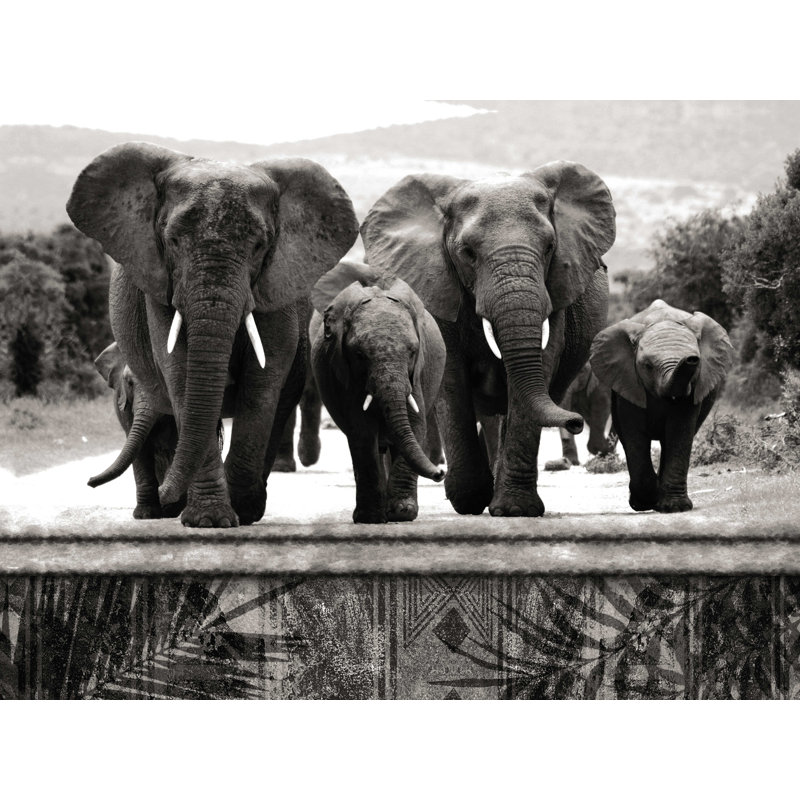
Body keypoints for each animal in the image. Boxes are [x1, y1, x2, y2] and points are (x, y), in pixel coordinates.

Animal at [89, 341, 186, 519]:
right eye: (129, 382)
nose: (90, 481)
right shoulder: (126, 405)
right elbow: (140, 448)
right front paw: (145, 515)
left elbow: (177, 446)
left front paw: (168, 508)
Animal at [310, 260, 445, 523]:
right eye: (360, 355)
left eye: (413, 352)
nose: (440, 473)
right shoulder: (346, 374)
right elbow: (362, 431)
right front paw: (370, 517)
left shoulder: (417, 374)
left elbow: (416, 423)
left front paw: (402, 513)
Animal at [360, 161, 616, 517]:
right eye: (467, 252)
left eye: (550, 247)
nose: (576, 421)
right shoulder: (437, 284)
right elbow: (451, 376)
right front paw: (469, 500)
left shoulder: (555, 293)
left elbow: (536, 368)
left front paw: (514, 510)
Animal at [589, 299, 733, 513]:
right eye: (648, 366)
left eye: (697, 363)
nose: (691, 359)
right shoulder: (629, 381)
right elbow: (634, 433)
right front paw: (644, 503)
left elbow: (679, 430)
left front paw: (675, 507)